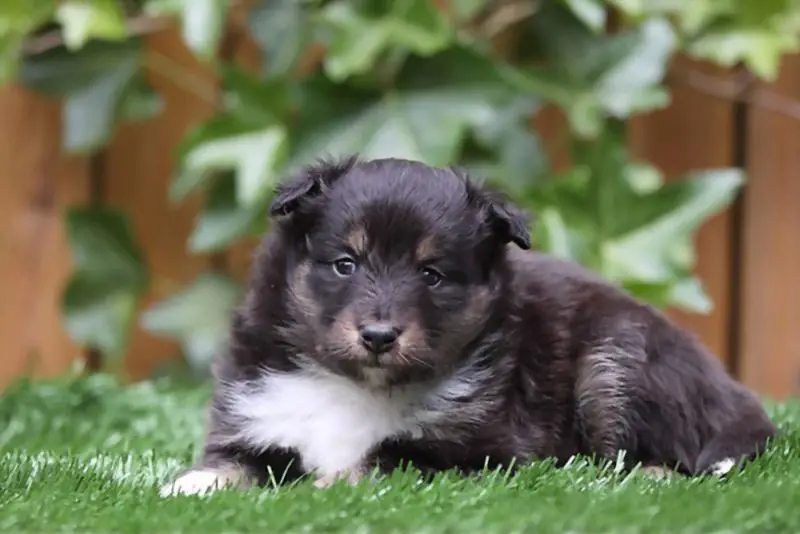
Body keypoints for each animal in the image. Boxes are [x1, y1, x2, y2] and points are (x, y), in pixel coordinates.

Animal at [159, 155, 780, 498]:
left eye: (432, 274)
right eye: (345, 264)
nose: (379, 337)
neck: (357, 385)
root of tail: (734, 394)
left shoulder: (481, 449)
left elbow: (382, 460)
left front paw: (326, 486)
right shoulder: (254, 417)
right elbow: (234, 465)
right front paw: (188, 486)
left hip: (616, 359)